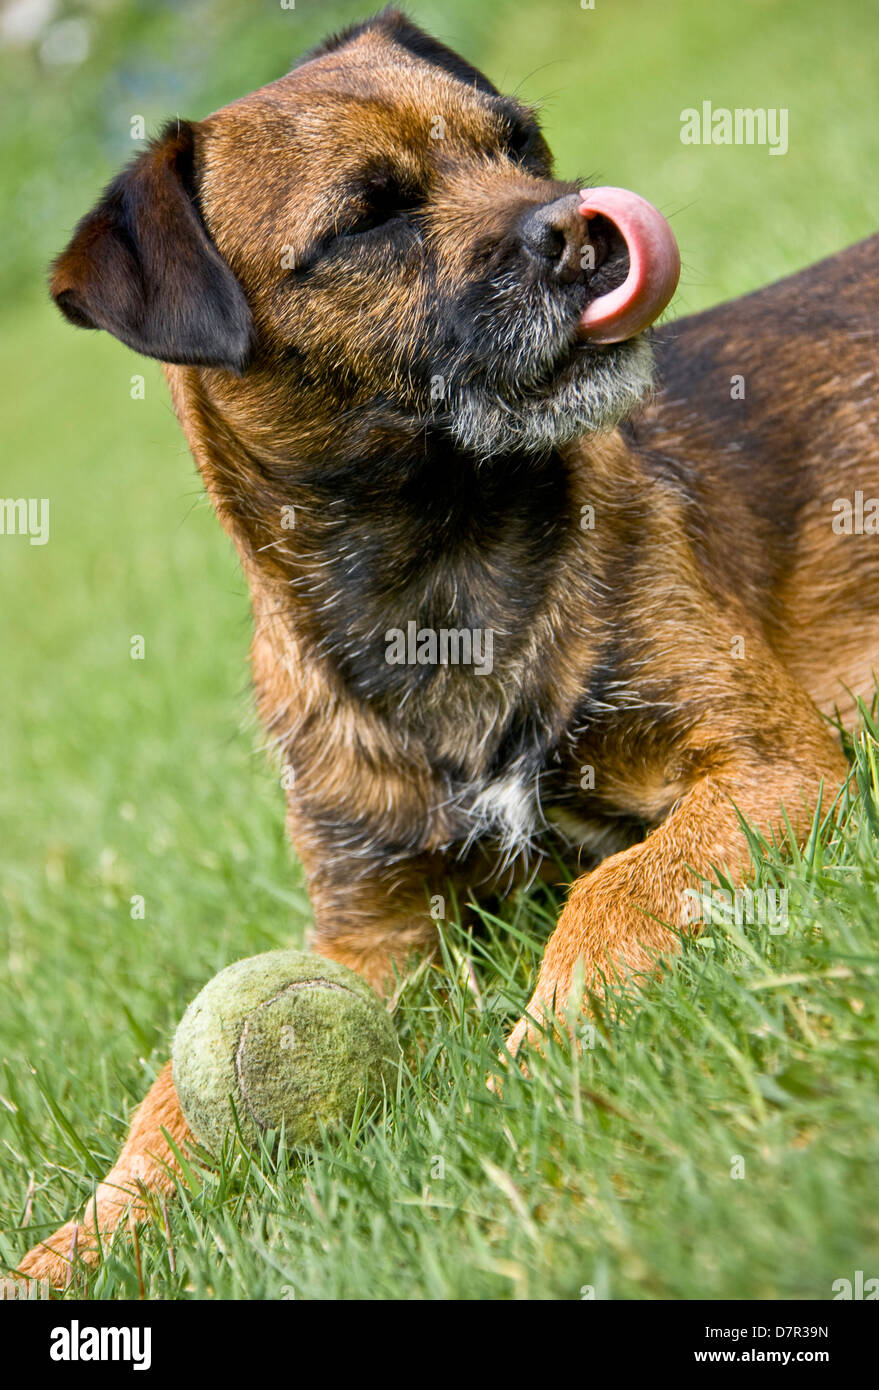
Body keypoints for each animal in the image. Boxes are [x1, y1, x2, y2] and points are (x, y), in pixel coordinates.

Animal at [15, 5, 879, 1284]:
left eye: (520, 142)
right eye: (368, 216)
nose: (582, 222)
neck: (443, 571)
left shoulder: (769, 762)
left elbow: (619, 886)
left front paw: (551, 1039)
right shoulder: (369, 933)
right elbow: (171, 1098)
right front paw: (84, 1236)